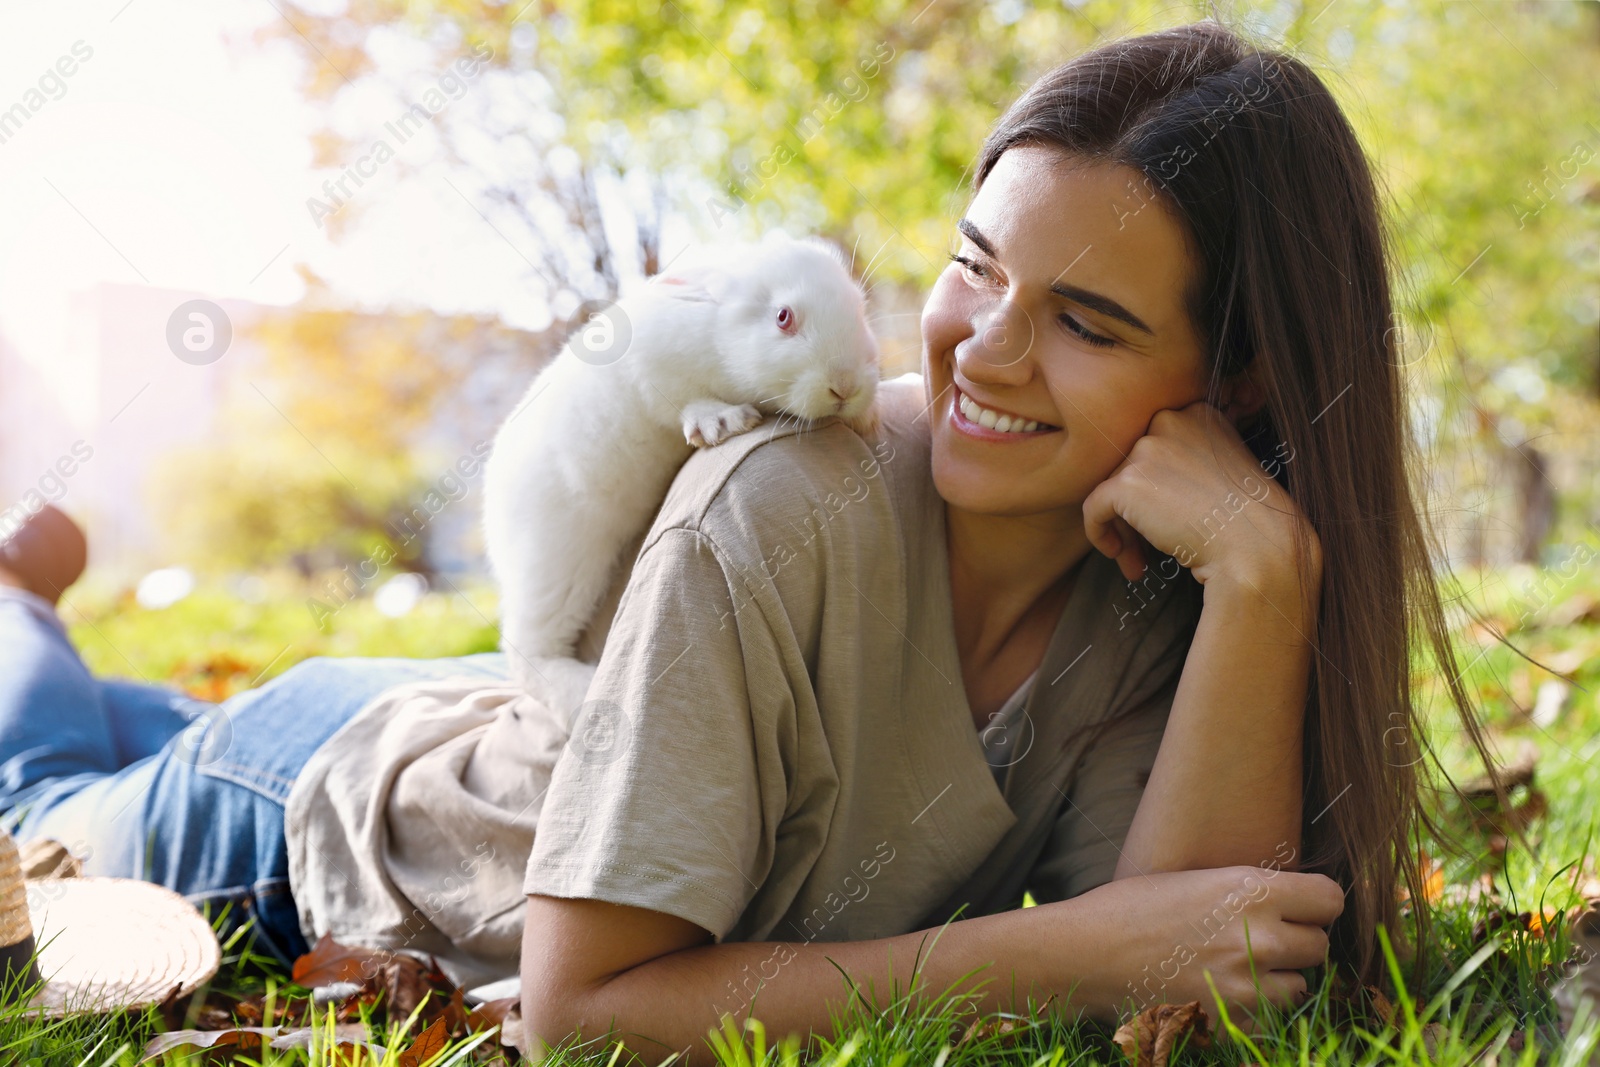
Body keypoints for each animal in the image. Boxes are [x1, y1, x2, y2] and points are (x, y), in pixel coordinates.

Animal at [480, 230, 883, 713]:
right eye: (783, 317)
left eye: (859, 308)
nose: (845, 386)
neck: (718, 335)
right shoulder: (656, 374)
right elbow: (683, 402)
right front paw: (723, 422)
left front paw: (867, 417)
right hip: (557, 564)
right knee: (527, 651)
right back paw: (580, 691)